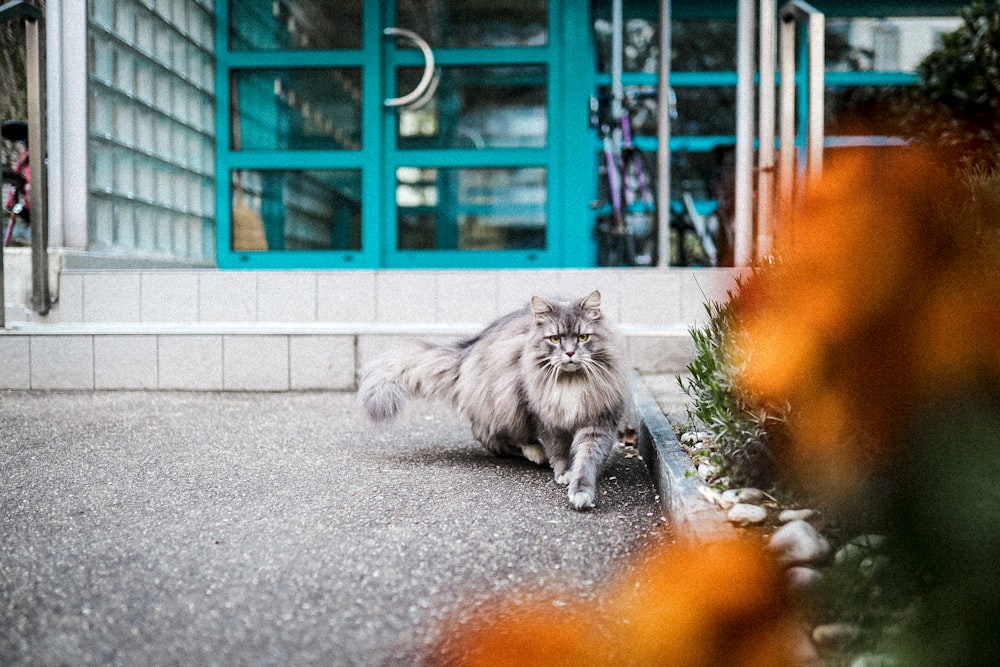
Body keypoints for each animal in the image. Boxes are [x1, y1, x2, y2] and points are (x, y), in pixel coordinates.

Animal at [356, 292, 628, 512]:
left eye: (582, 337)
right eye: (554, 339)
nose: (570, 353)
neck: (572, 382)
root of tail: (468, 351)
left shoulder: (597, 424)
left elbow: (586, 462)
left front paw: (581, 492)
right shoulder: (545, 419)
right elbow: (558, 452)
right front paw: (563, 473)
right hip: (508, 402)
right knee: (490, 436)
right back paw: (535, 453)